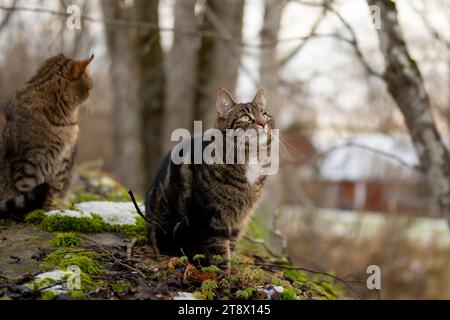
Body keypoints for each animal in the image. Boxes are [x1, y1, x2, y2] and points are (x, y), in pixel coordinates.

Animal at [0, 53, 93, 218]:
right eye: (90, 84)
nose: (92, 89)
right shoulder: (28, 161)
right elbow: (25, 188)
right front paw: (31, 212)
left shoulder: (62, 161)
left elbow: (54, 191)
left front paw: (51, 210)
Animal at [146, 88, 276, 264]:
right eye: (245, 117)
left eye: (265, 114)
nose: (263, 123)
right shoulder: (211, 217)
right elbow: (219, 250)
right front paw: (223, 270)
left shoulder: (238, 220)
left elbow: (231, 245)